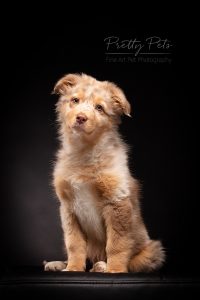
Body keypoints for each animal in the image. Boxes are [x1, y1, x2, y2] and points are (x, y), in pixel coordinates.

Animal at [43, 74, 164, 274]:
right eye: (75, 100)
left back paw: (102, 265)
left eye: (99, 108)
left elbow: (117, 243)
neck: (84, 151)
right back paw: (59, 264)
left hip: (152, 251)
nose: (81, 118)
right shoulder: (68, 208)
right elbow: (74, 243)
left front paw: (115, 269)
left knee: (134, 260)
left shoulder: (117, 202)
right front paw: (73, 267)